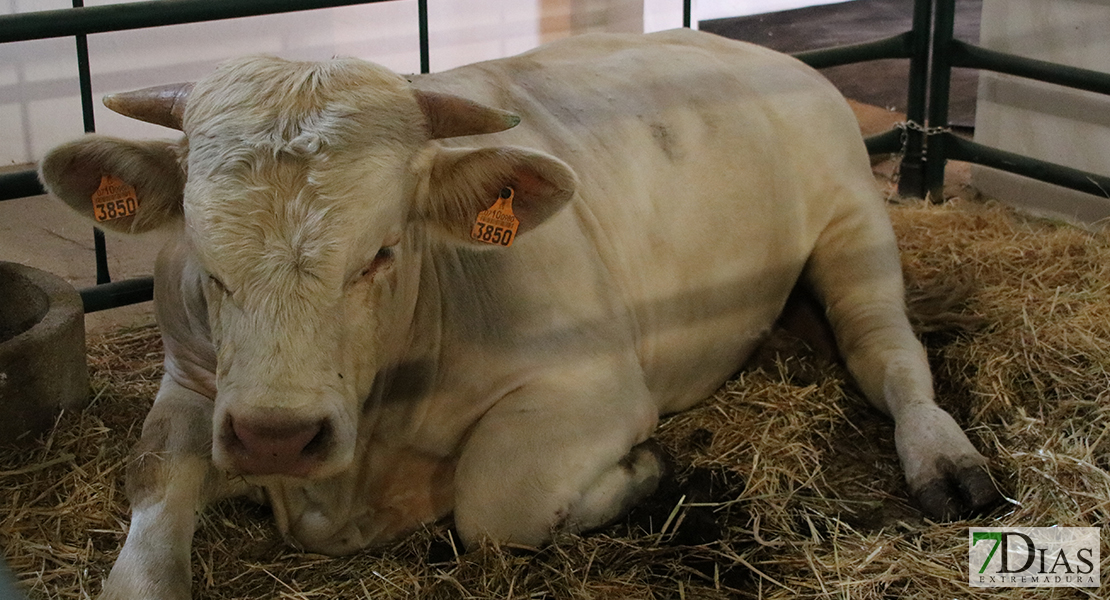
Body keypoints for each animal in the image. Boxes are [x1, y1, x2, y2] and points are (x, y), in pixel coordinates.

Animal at [41, 28, 999, 598]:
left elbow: (497, 503)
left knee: (889, 353)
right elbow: (150, 495)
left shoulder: (592, 386)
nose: (278, 434)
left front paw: (644, 474)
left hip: (854, 225)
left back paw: (947, 460)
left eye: (383, 250)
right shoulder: (192, 381)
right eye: (205, 254)